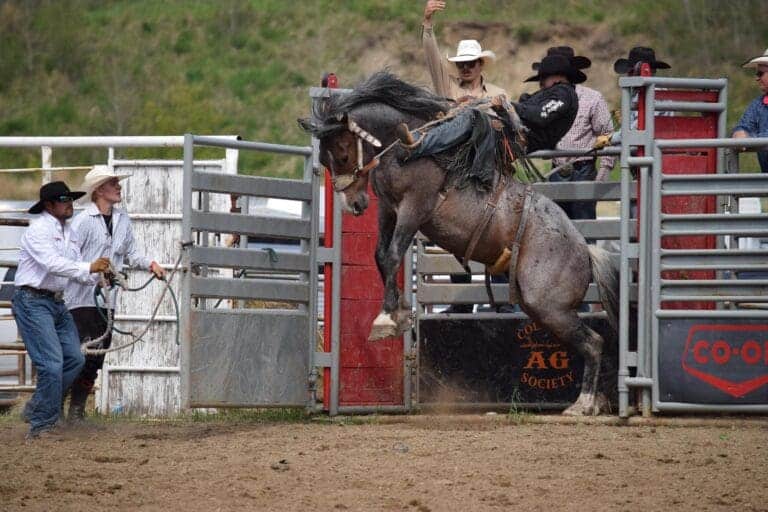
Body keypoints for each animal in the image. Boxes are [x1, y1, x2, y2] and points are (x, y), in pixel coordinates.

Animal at [300, 72, 616, 416]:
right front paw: (399, 312)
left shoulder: (415, 207)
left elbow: (394, 254)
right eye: (323, 160)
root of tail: (585, 249)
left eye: (343, 154)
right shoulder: (388, 209)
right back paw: (593, 403)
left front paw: (387, 318)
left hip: (550, 307)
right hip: (542, 309)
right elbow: (381, 255)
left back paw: (583, 404)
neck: (407, 150)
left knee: (594, 343)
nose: (353, 205)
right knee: (590, 342)